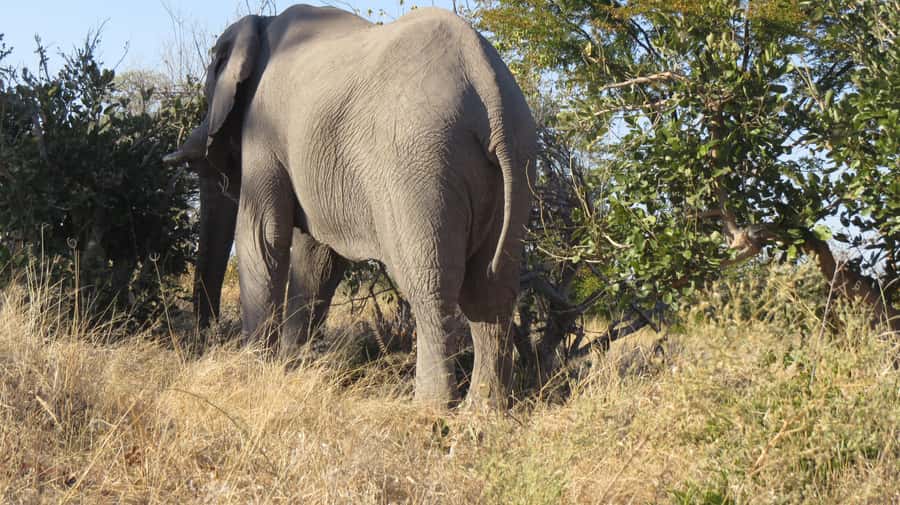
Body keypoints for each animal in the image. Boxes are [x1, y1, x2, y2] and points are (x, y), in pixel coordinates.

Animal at [163, 4, 536, 407]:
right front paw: (294, 368)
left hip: (421, 165)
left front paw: (253, 371)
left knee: (430, 285)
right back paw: (483, 410)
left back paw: (430, 408)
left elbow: (262, 235)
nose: (204, 341)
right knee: (492, 289)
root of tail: (489, 88)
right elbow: (318, 259)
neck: (260, 24)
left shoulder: (264, 129)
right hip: (516, 162)